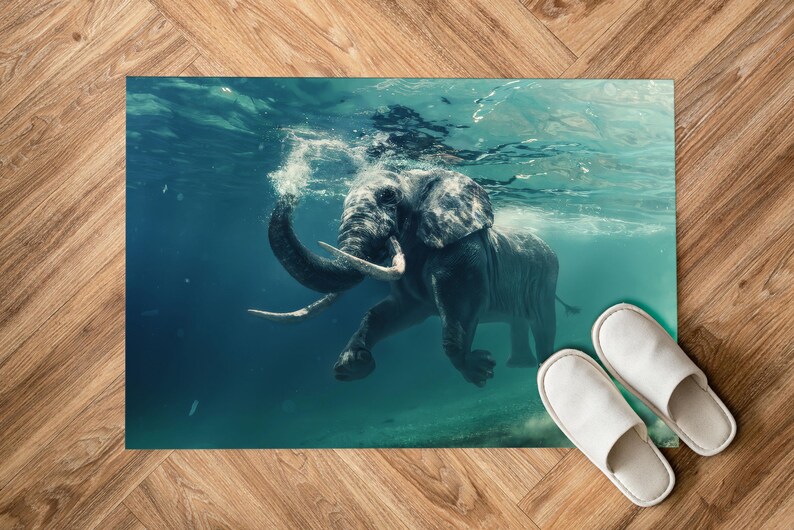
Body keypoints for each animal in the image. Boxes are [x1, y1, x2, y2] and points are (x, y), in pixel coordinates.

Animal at [249, 168, 578, 387]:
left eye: (388, 196)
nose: (290, 191)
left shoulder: (463, 251)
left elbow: (460, 305)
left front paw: (480, 371)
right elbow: (390, 313)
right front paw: (352, 365)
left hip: (547, 275)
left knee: (543, 321)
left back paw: (543, 368)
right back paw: (522, 366)